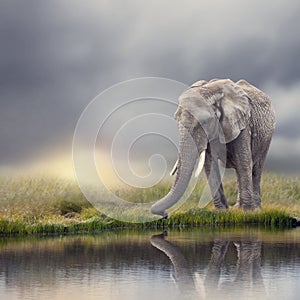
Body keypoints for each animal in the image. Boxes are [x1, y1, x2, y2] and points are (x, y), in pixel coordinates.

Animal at [151, 78, 276, 217]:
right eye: (176, 120)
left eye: (205, 122)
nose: (165, 215)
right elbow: (210, 165)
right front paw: (222, 212)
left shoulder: (242, 124)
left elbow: (243, 162)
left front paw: (247, 212)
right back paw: (238, 207)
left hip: (266, 137)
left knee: (255, 168)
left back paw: (256, 209)